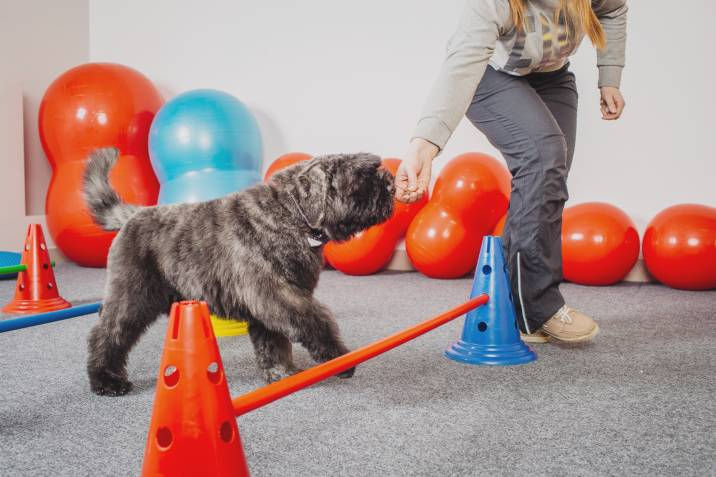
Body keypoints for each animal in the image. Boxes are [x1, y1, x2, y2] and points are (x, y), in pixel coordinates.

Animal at [84, 148, 398, 394]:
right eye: (360, 177)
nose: (392, 186)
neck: (289, 214)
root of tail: (133, 215)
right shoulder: (278, 296)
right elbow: (316, 322)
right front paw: (338, 358)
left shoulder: (267, 305)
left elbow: (273, 343)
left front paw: (280, 374)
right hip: (131, 297)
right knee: (107, 335)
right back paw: (106, 380)